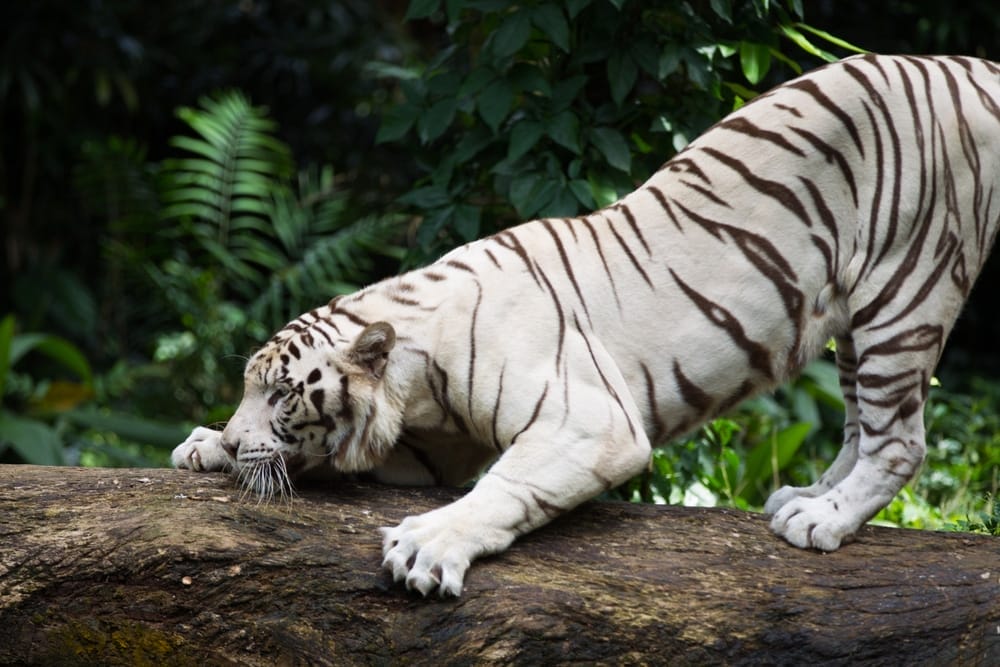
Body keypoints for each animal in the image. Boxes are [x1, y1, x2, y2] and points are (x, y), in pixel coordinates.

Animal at [172, 53, 1000, 597]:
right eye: (250, 386)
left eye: (284, 393)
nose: (239, 437)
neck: (415, 382)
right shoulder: (426, 453)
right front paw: (208, 443)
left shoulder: (588, 422)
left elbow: (502, 488)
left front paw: (427, 544)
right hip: (856, 317)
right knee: (862, 424)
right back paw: (804, 496)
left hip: (907, 287)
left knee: (900, 439)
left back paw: (823, 520)